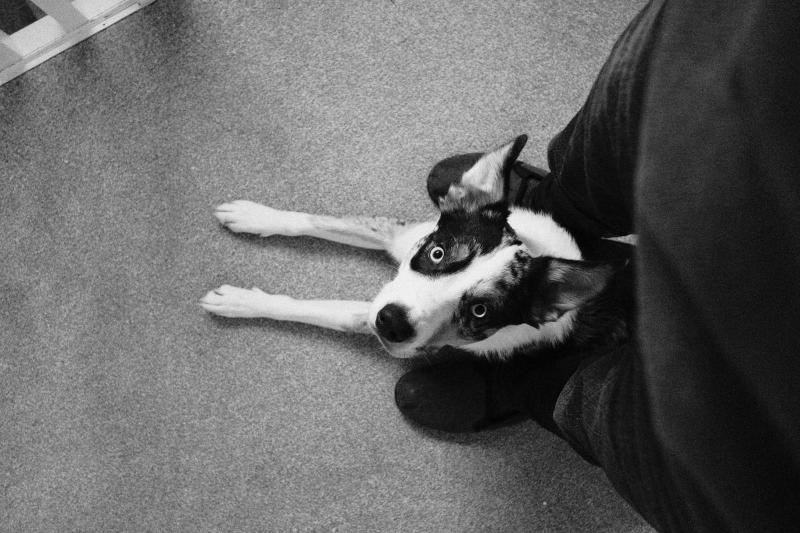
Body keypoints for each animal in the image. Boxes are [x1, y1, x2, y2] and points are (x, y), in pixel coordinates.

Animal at [200, 136, 632, 362]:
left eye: (480, 311)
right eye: (438, 253)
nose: (391, 323)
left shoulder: (407, 333)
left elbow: (322, 310)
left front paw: (241, 302)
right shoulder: (404, 236)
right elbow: (315, 220)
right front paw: (254, 215)